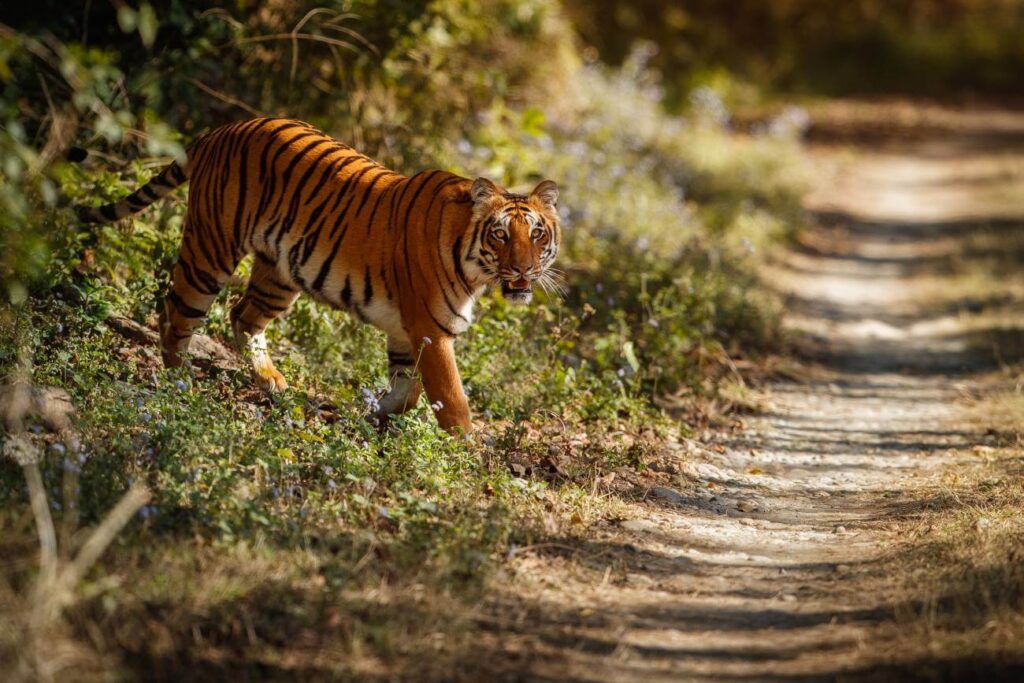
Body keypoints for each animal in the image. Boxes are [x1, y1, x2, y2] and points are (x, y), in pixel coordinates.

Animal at [75, 114, 565, 430]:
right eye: (500, 235)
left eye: (537, 234)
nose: (523, 269)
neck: (475, 270)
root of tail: (221, 129)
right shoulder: (431, 329)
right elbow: (452, 399)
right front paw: (465, 453)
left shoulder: (406, 331)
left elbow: (407, 391)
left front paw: (374, 417)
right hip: (210, 251)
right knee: (176, 316)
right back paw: (180, 385)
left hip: (279, 274)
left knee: (242, 315)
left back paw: (273, 383)